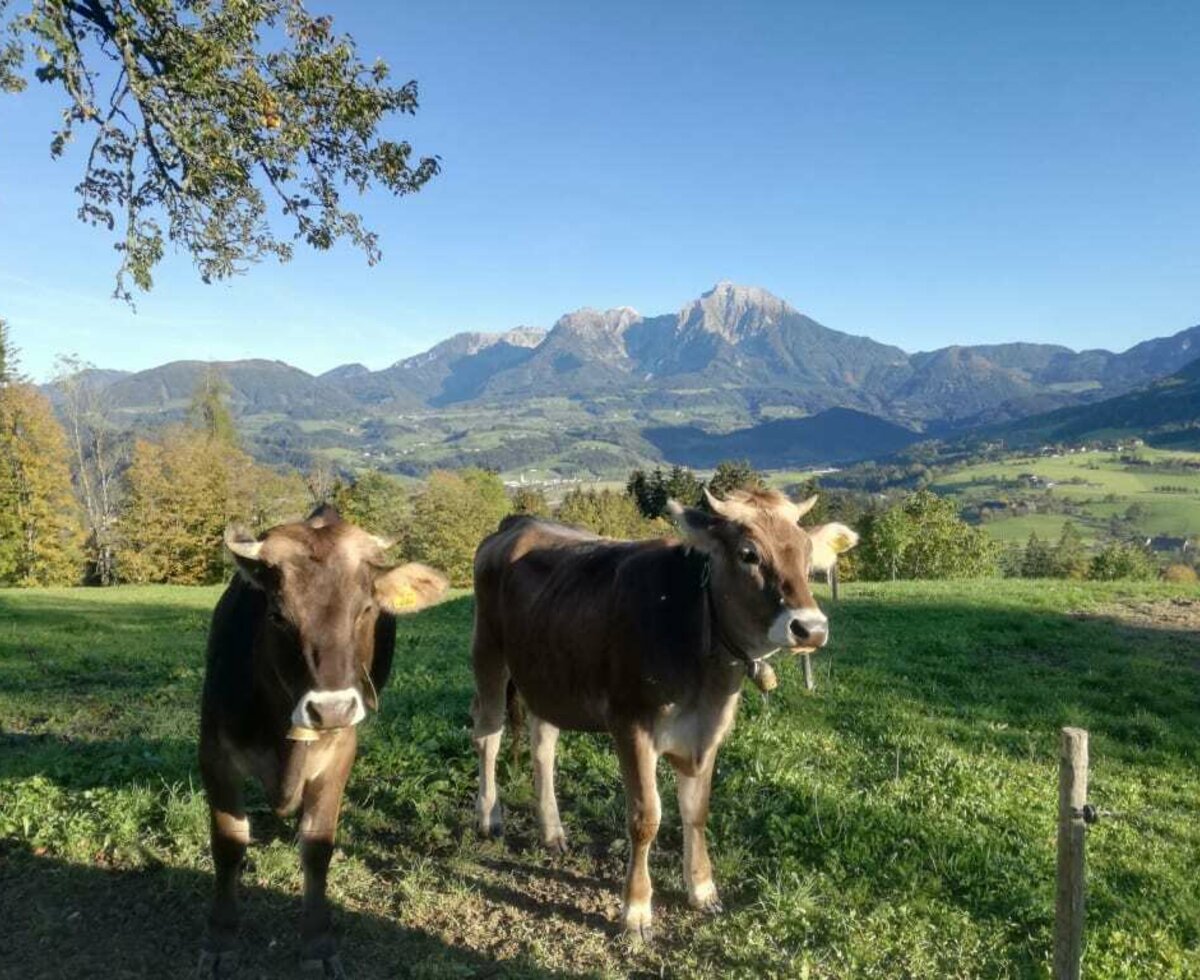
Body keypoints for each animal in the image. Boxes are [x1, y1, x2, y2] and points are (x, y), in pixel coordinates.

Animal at [199, 508, 448, 974]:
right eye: (278, 615)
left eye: (366, 609)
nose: (330, 710)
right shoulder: (214, 753)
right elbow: (228, 842)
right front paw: (221, 937)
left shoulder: (339, 753)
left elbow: (317, 846)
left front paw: (317, 943)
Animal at [465, 484, 854, 935]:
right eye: (749, 554)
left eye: (808, 556)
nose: (812, 628)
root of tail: (518, 522)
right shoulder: (631, 725)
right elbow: (645, 818)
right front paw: (636, 908)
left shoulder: (708, 730)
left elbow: (696, 812)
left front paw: (702, 888)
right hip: (488, 653)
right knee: (488, 733)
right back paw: (489, 816)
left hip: (547, 670)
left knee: (542, 745)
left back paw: (552, 831)